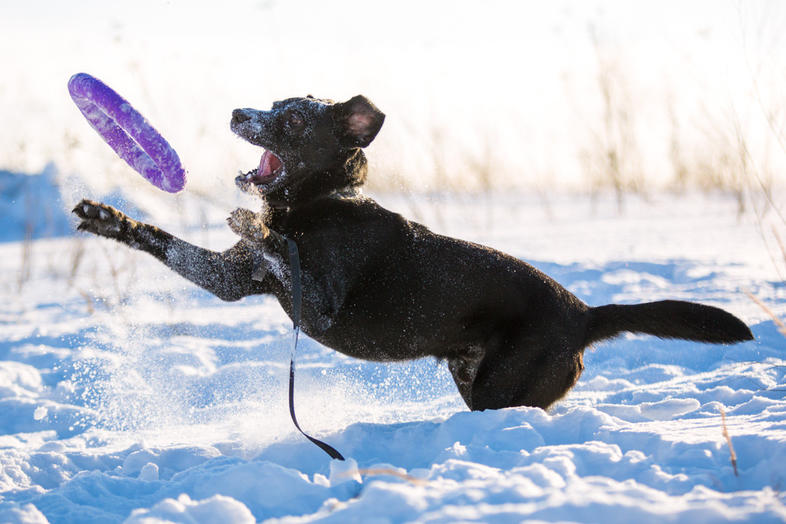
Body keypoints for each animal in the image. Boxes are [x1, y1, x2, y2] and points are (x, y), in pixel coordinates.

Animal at [75, 95, 752, 414]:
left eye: (292, 121)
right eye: (272, 102)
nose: (238, 110)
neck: (320, 202)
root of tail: (585, 313)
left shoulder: (319, 303)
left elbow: (277, 245)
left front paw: (252, 222)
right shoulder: (232, 281)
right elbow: (173, 244)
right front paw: (110, 219)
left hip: (504, 385)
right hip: (474, 375)